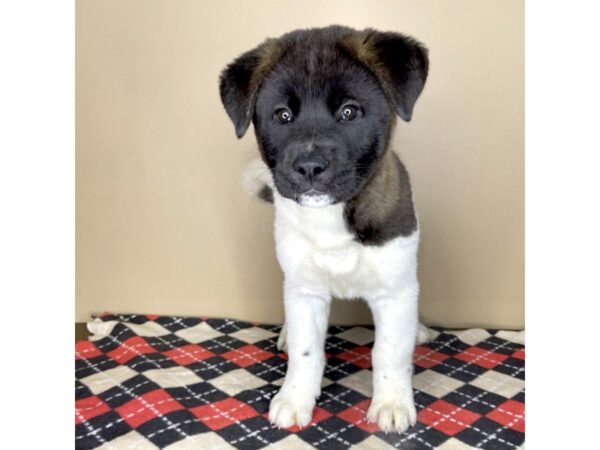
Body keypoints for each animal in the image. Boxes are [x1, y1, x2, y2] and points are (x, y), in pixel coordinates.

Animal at [218, 24, 428, 432]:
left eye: (349, 112)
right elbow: (306, 350)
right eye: (282, 115)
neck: (332, 217)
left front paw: (392, 403)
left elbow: (390, 352)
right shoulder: (305, 291)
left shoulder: (395, 290)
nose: (309, 167)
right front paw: (295, 398)